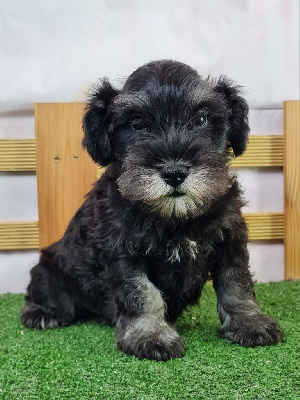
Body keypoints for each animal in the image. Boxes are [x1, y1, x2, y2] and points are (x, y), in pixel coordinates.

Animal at [21, 60, 284, 362]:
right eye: (136, 125)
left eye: (201, 120)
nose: (174, 172)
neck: (175, 217)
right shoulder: (122, 251)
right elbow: (141, 293)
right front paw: (150, 335)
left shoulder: (230, 240)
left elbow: (236, 283)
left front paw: (250, 322)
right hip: (50, 267)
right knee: (42, 290)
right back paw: (41, 312)